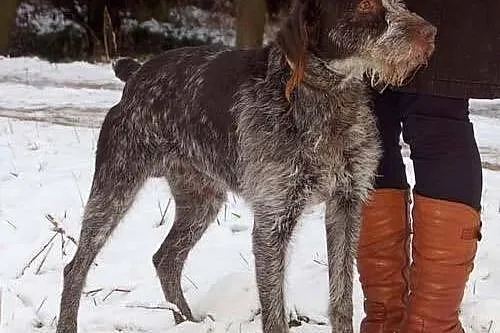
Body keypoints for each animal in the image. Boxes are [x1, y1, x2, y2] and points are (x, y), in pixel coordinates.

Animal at [56, 0, 436, 332]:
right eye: (365, 4)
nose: (431, 32)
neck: (326, 98)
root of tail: (136, 75)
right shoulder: (273, 219)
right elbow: (275, 314)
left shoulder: (346, 205)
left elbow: (342, 300)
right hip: (115, 188)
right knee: (76, 268)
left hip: (201, 201)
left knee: (166, 259)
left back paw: (186, 320)